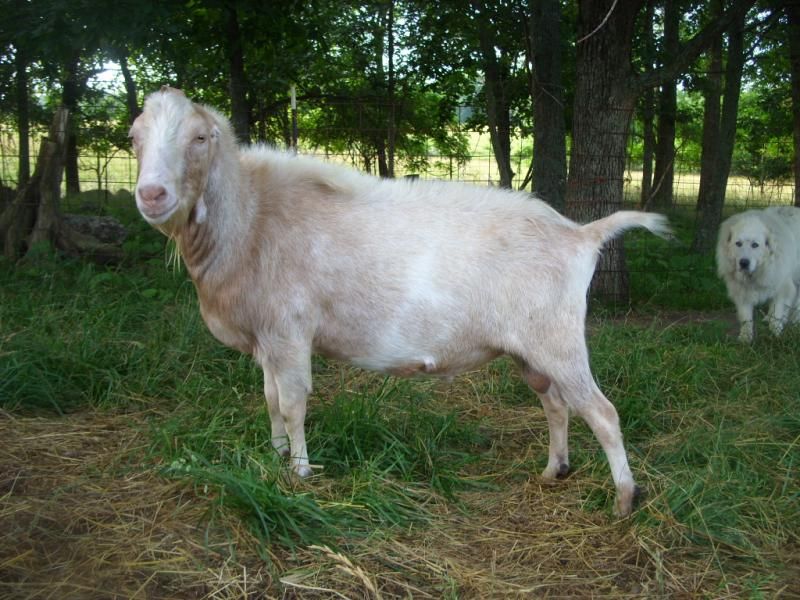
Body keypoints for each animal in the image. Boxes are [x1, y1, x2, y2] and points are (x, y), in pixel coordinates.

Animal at [130, 86, 671, 517]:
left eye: (200, 138)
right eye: (135, 137)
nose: (152, 195)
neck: (250, 221)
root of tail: (581, 234)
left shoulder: (289, 330)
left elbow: (292, 402)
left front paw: (300, 472)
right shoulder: (266, 338)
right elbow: (268, 399)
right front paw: (277, 454)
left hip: (557, 339)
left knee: (602, 412)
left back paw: (625, 498)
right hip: (530, 348)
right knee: (555, 403)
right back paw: (554, 469)